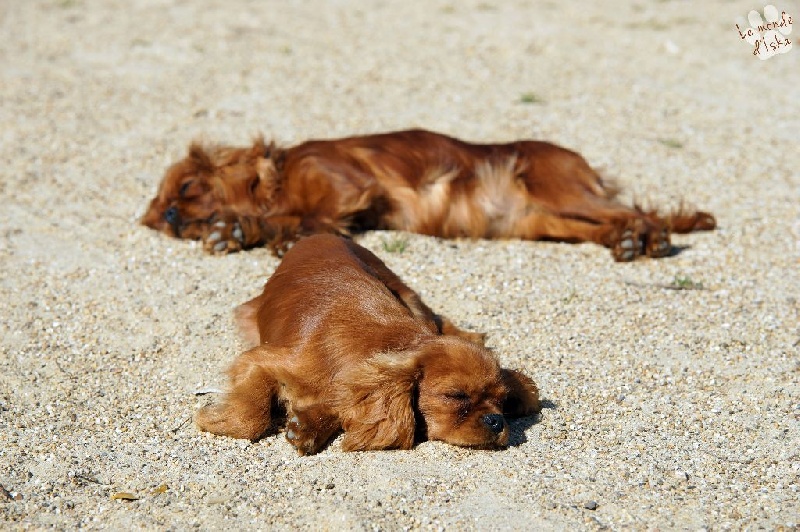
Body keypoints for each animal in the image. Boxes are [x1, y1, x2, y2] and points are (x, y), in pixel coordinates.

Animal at [196, 235, 540, 456]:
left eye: (501, 401)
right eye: (455, 396)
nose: (497, 421)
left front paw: (309, 424)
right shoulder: (259, 359)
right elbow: (251, 418)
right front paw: (214, 418)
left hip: (409, 297)